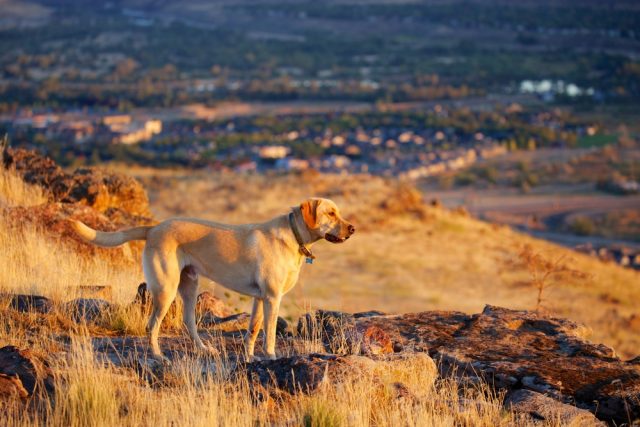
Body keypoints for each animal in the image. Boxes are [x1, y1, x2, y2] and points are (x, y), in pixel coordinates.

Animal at [72, 197, 358, 362]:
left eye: (338, 212)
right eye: (331, 213)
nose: (353, 228)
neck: (294, 235)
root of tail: (153, 228)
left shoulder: (260, 299)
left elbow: (253, 330)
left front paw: (250, 357)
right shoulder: (272, 298)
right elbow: (269, 334)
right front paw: (271, 355)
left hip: (189, 286)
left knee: (188, 321)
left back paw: (202, 349)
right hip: (165, 289)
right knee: (152, 325)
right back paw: (157, 355)